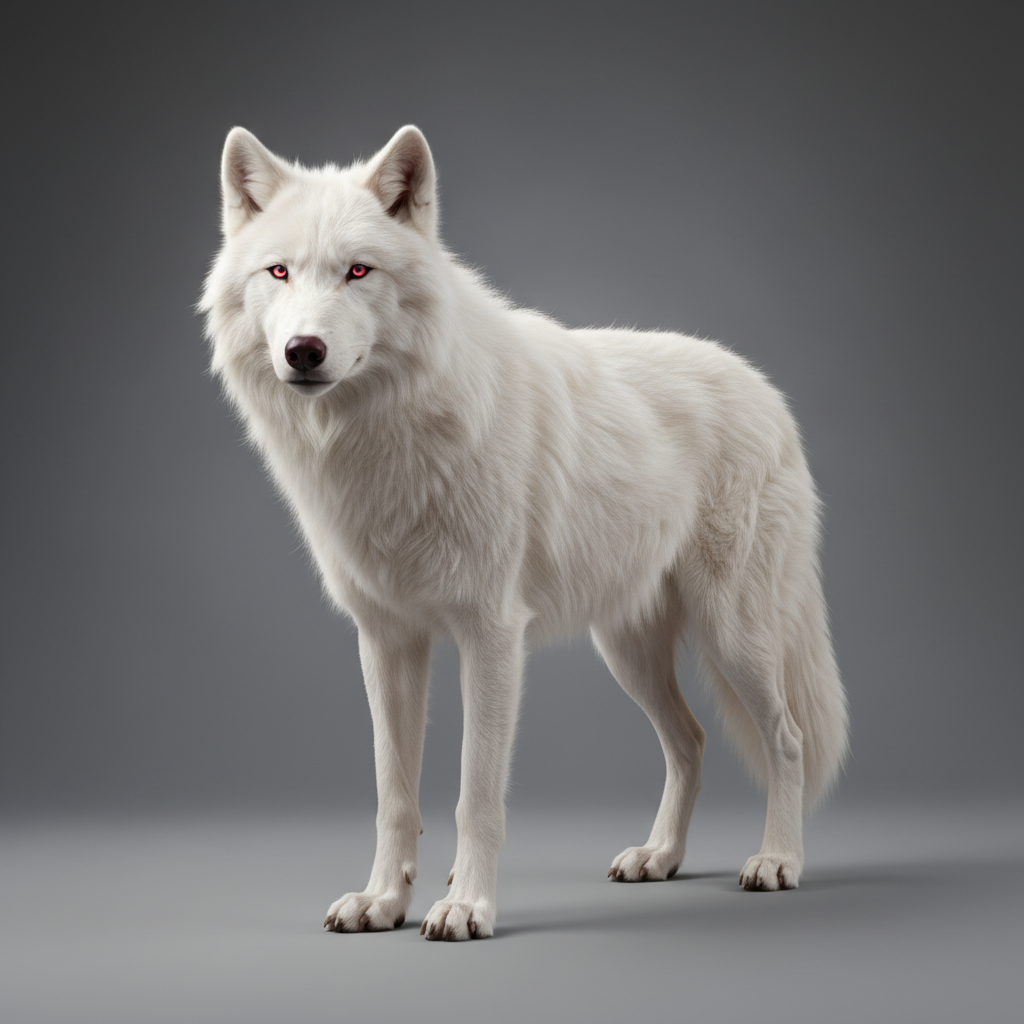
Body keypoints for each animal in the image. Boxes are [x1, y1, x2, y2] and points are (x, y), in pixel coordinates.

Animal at [201, 125, 849, 941]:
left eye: (358, 271)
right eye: (279, 271)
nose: (304, 351)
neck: (385, 437)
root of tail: (767, 391)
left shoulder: (491, 635)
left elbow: (475, 794)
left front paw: (465, 907)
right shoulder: (386, 641)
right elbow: (393, 795)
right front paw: (383, 901)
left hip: (736, 637)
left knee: (786, 738)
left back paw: (778, 861)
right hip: (627, 652)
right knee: (691, 742)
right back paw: (659, 857)